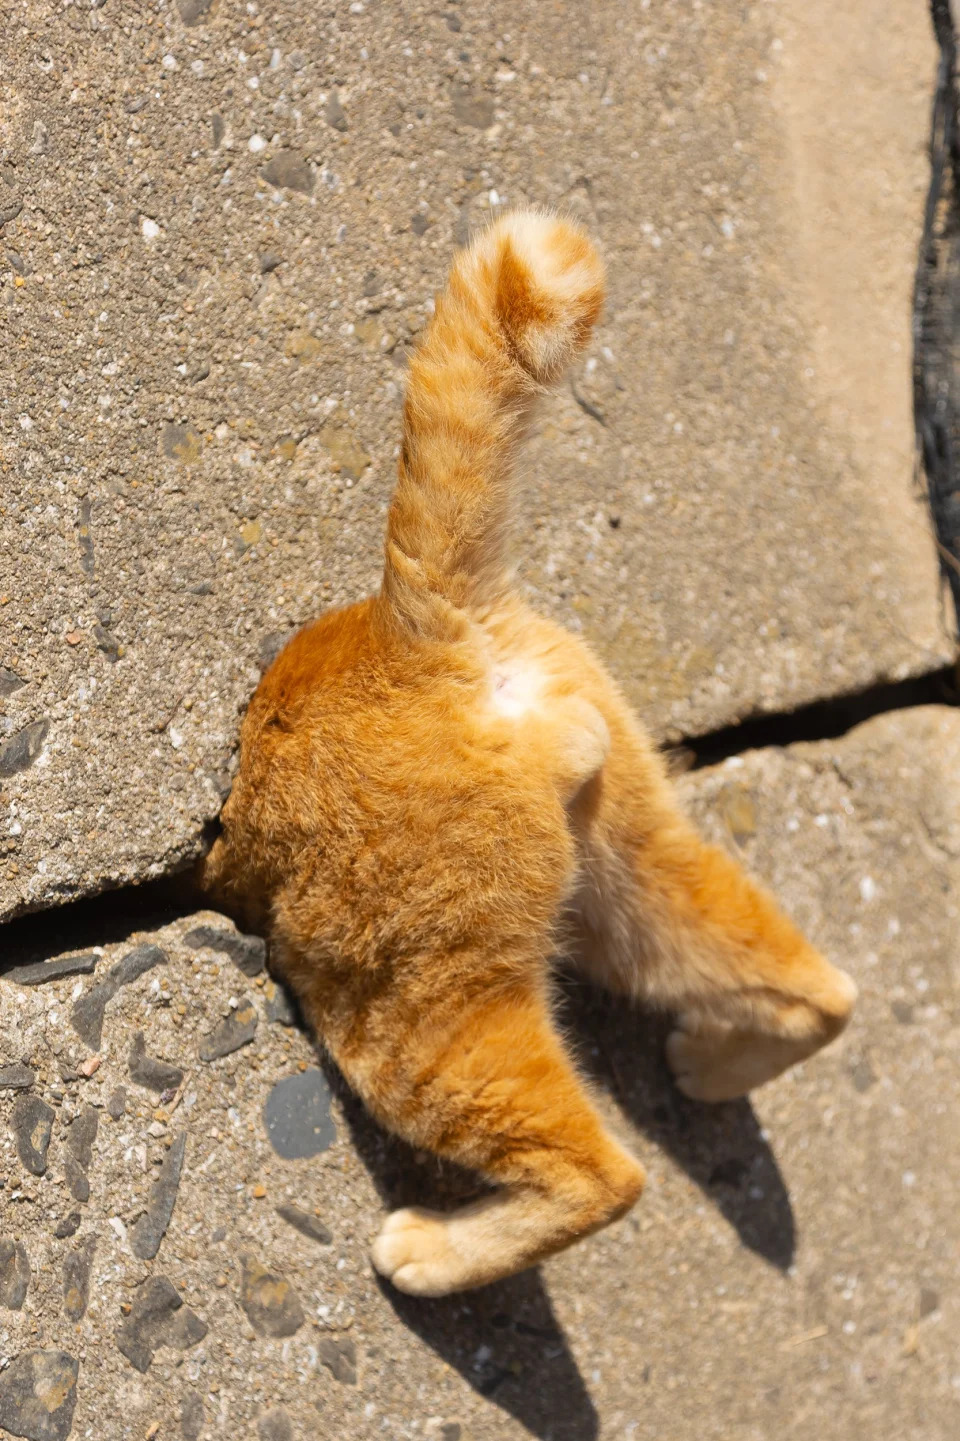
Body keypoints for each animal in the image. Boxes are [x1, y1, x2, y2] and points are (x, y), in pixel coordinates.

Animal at [200, 210, 853, 1296]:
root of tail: (420, 635)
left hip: (405, 1011)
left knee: (605, 1173)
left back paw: (431, 1254)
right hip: (636, 879)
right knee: (824, 986)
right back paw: (712, 1066)